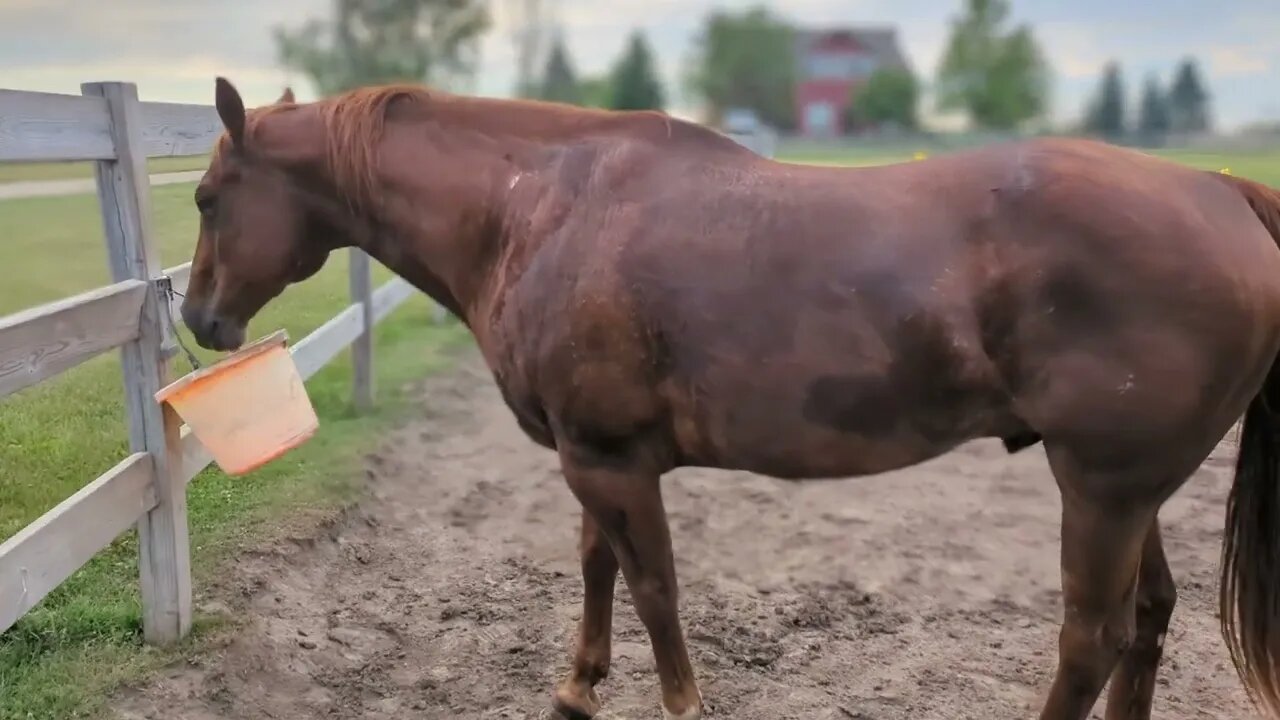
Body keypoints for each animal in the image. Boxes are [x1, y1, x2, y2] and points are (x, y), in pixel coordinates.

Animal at [183, 78, 1280, 717]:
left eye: (203, 197)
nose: (199, 319)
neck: (542, 209)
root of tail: (1221, 190)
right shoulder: (595, 456)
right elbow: (597, 566)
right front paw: (577, 688)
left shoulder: (607, 458)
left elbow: (654, 589)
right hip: (1126, 491)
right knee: (1147, 619)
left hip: (1099, 489)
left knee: (1091, 639)